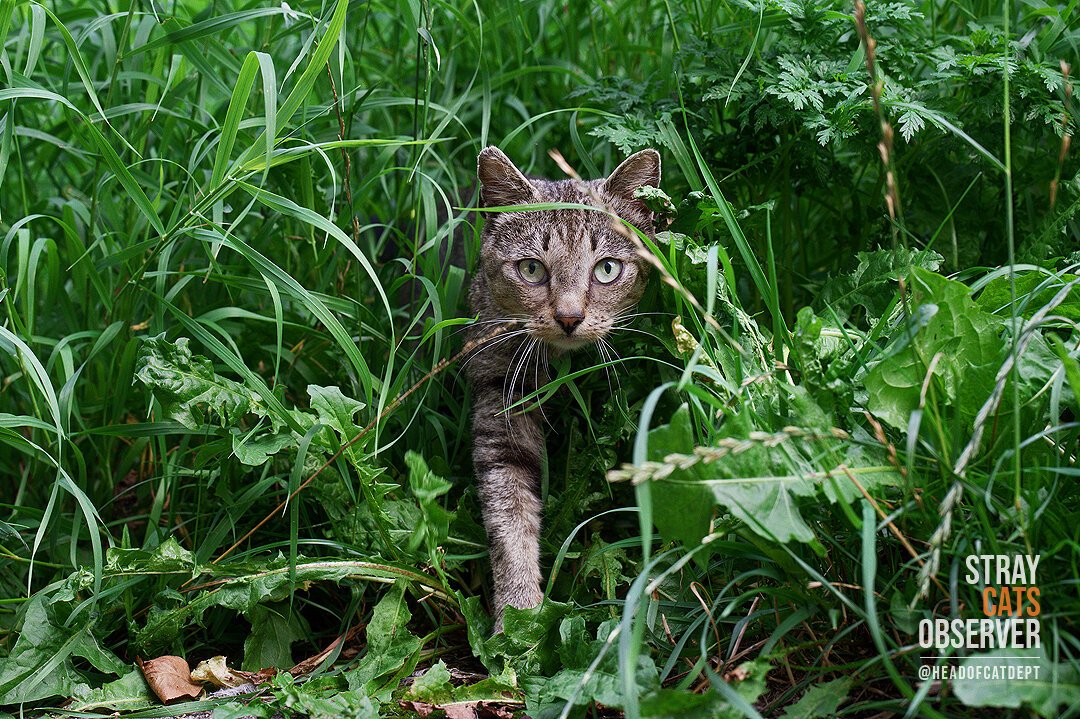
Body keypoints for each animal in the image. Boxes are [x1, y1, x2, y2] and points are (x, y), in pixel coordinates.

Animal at [468, 145, 660, 626]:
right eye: (531, 269)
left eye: (607, 269)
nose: (569, 317)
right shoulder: (500, 407)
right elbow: (509, 520)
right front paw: (518, 616)